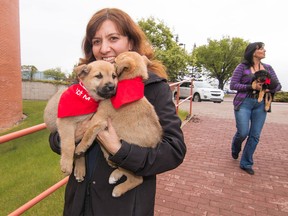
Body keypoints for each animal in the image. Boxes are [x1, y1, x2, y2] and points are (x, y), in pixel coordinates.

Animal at [73, 51, 162, 197]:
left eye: (114, 62)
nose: (111, 86)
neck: (129, 83)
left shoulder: (99, 118)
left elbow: (88, 133)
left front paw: (80, 147)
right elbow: (99, 144)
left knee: (137, 179)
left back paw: (118, 189)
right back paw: (114, 172)